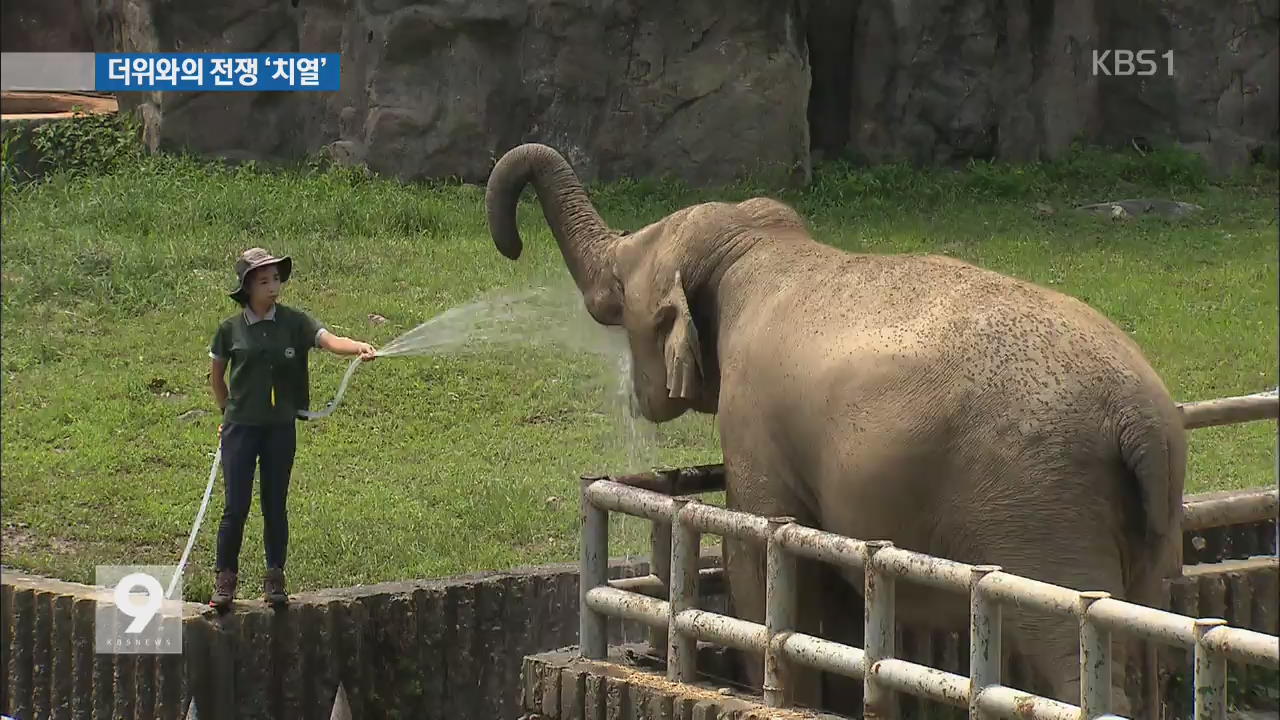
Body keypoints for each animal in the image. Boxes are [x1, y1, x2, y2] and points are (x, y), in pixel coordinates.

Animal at [483, 142, 1182, 712]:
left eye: (620, 288)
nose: (510, 244)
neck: (764, 249)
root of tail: (1139, 419)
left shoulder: (753, 419)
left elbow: (760, 556)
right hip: (1140, 525)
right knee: (1143, 641)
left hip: (1042, 512)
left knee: (1072, 647)